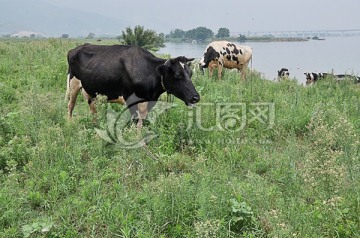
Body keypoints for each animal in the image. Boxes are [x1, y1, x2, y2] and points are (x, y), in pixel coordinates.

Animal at [65, 44, 200, 127]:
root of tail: (74, 49)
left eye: (191, 73)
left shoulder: (150, 100)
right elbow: (135, 122)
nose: (196, 97)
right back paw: (70, 124)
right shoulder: (131, 100)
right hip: (73, 84)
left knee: (93, 109)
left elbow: (142, 122)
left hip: (90, 91)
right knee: (71, 105)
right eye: (178, 75)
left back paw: (95, 125)